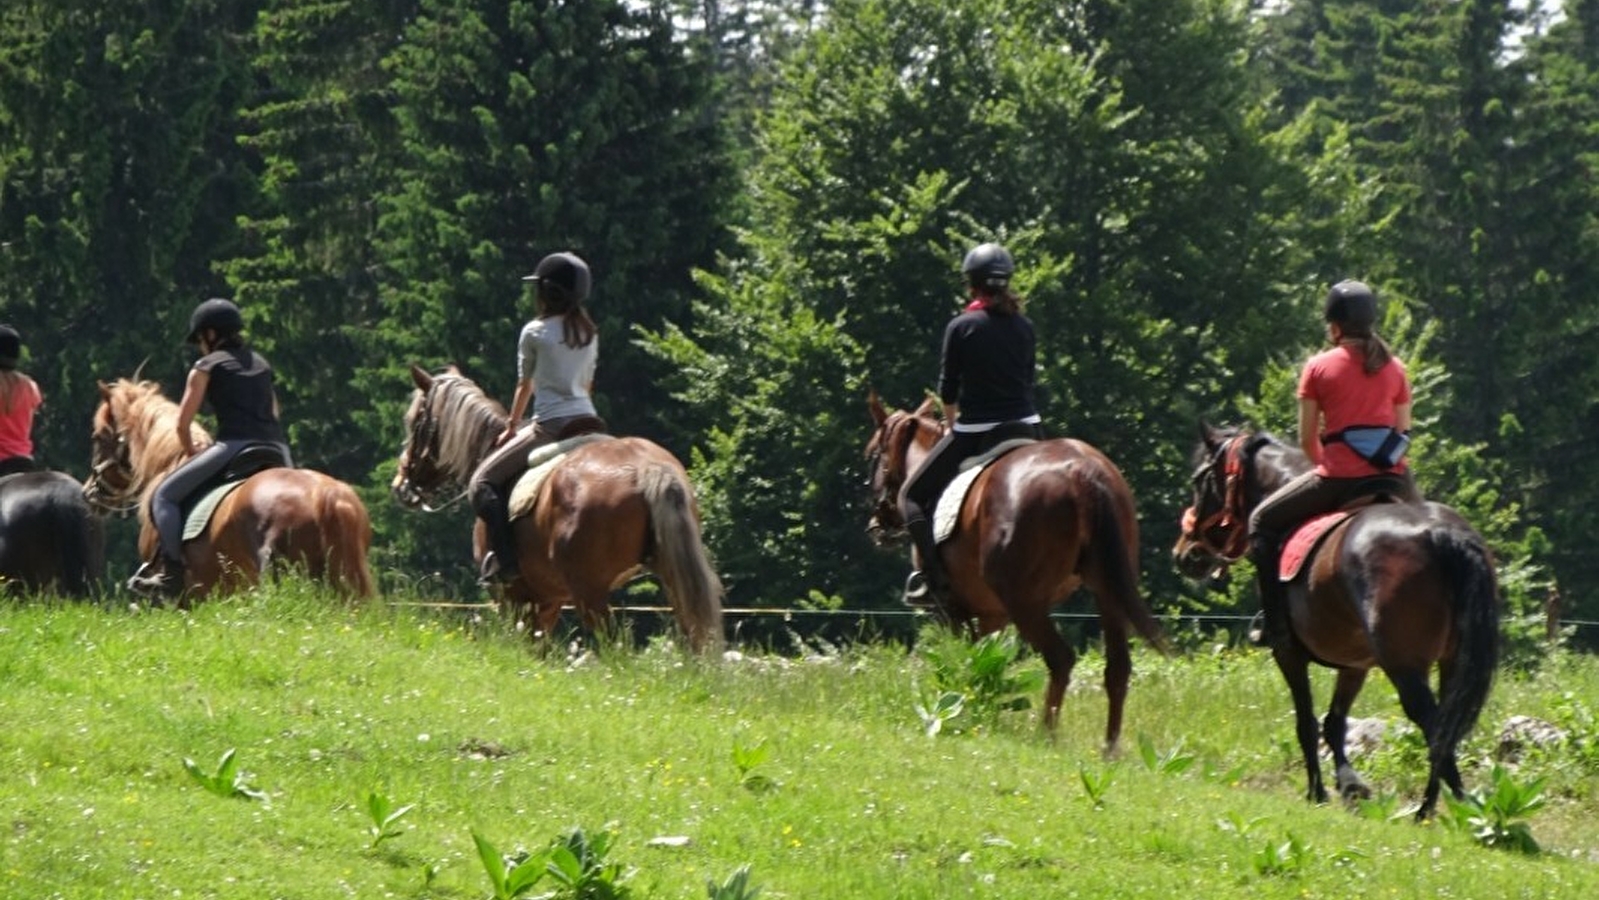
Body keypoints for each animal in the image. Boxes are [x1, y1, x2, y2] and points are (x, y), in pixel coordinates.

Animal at [391, 366, 725, 655]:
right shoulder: (549, 597)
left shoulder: (513, 596)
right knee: (695, 635)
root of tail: (646, 467)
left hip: (589, 591)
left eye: (415, 422)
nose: (400, 485)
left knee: (614, 646)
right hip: (670, 574)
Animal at [869, 391, 1170, 751]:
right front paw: (982, 710)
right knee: (1118, 667)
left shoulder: (952, 610)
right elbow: (985, 660)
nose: (877, 525)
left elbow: (961, 658)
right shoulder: (991, 613)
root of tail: (1082, 472)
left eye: (874, 454)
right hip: (1106, 589)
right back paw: (1109, 747)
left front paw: (957, 711)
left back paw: (1046, 736)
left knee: (1060, 659)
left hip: (1024, 601)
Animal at [1176, 422, 1496, 818]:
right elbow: (1334, 723)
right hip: (1452, 660)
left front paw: (1318, 791)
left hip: (1404, 665)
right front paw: (1350, 786)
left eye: (1199, 480)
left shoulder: (1288, 654)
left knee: (1432, 721)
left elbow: (1307, 723)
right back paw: (1451, 804)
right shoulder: (1354, 664)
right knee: (1447, 721)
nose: (1186, 553)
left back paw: (1435, 808)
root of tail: (1441, 533)